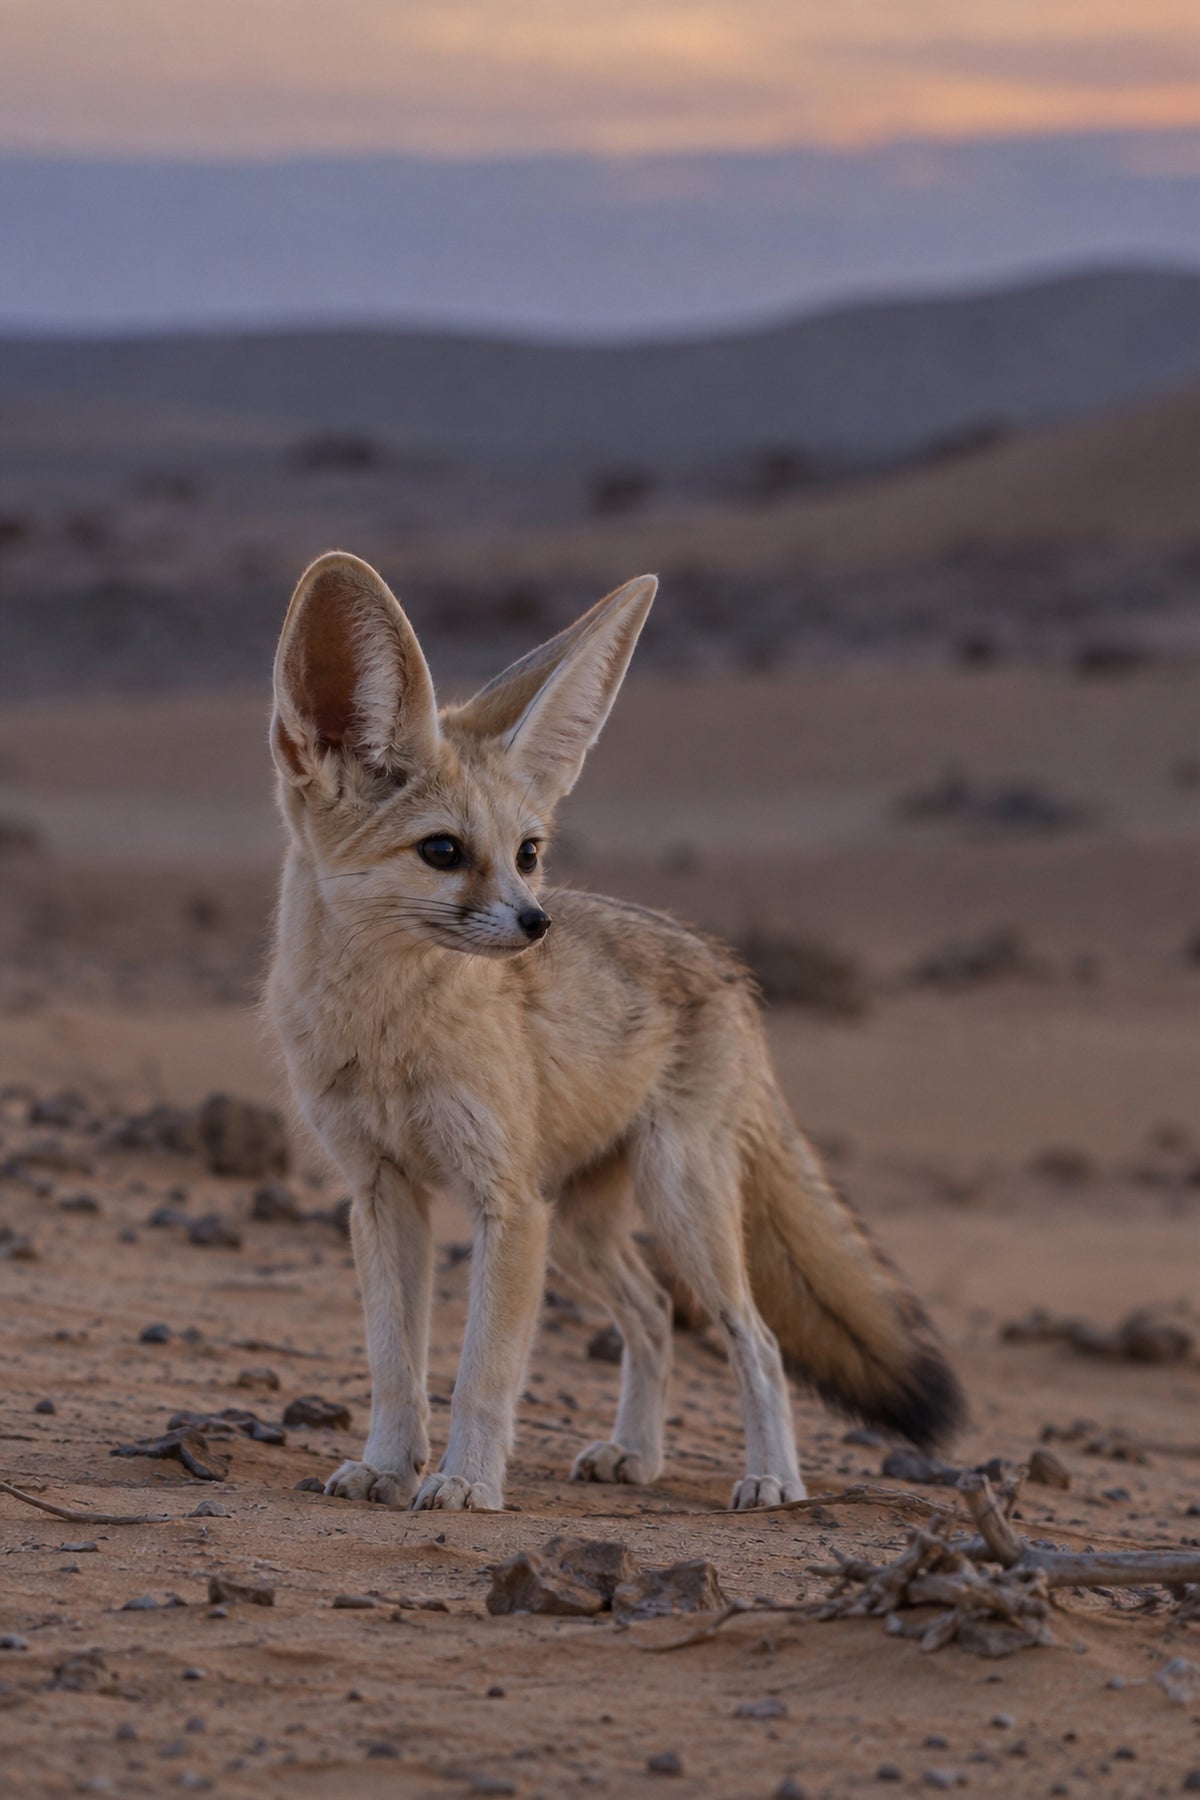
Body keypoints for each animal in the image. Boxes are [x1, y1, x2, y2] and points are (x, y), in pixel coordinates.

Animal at [266, 551, 964, 1513]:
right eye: (442, 852)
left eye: (527, 852)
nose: (536, 925)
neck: (388, 1035)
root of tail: (725, 966)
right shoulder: (380, 1191)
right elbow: (393, 1364)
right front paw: (386, 1465)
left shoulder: (505, 1203)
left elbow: (484, 1372)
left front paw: (465, 1482)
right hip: (582, 1228)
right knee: (653, 1315)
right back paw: (636, 1453)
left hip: (675, 1204)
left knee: (756, 1339)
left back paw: (773, 1479)